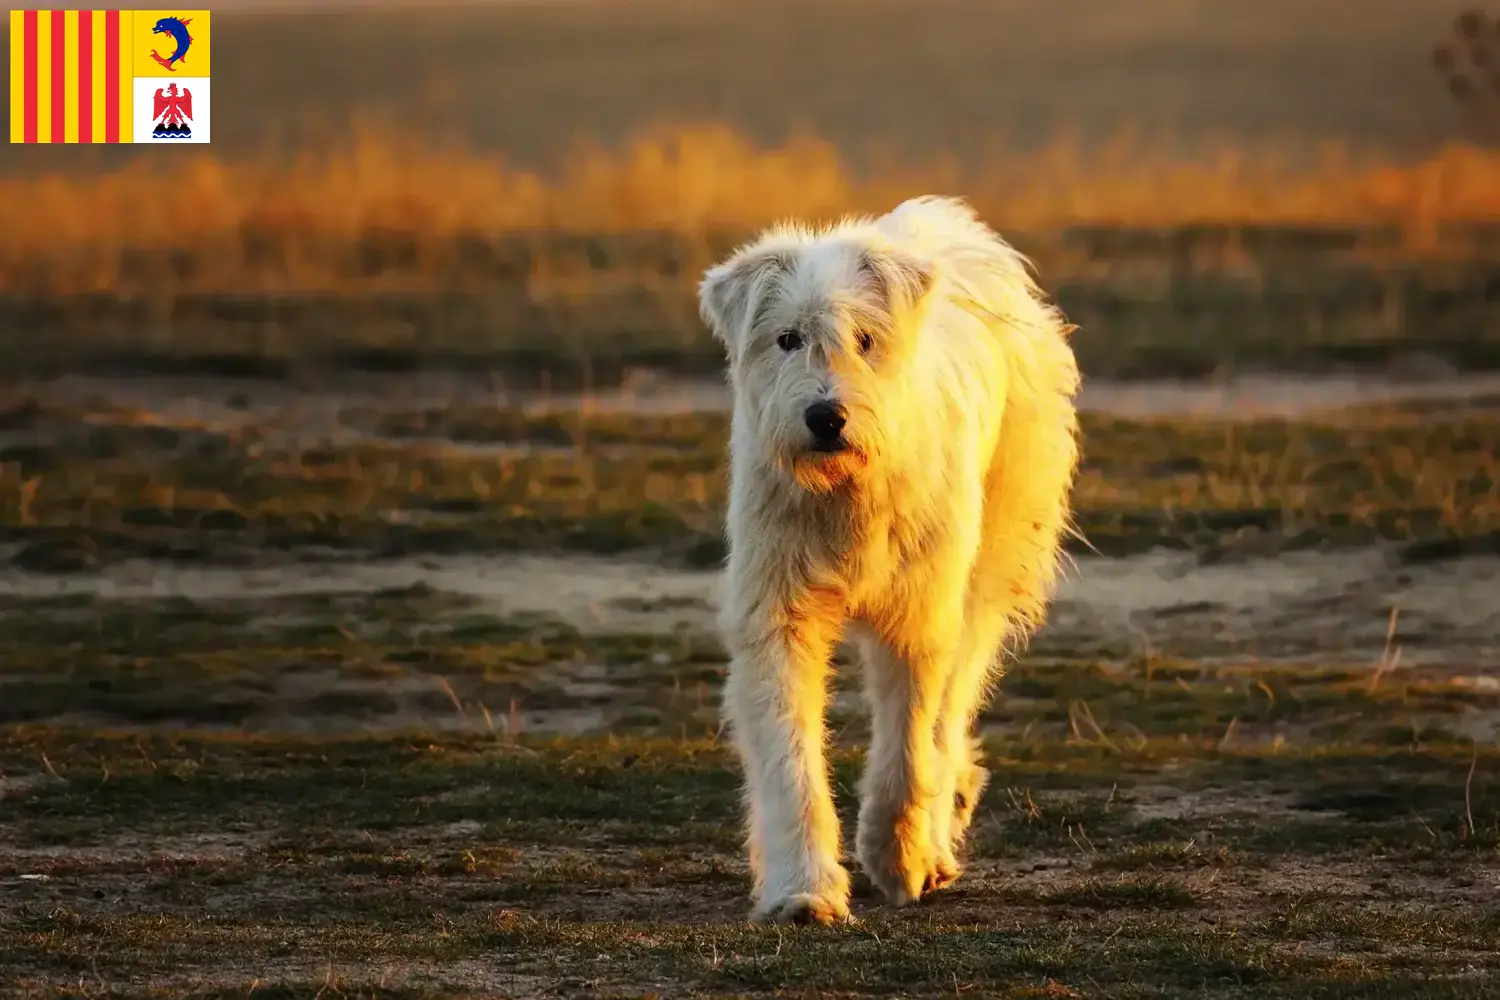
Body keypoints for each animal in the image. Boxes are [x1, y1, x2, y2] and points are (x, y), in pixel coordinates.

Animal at [699, 193, 1080, 923]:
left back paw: (939, 831)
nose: (826, 417)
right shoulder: (777, 611)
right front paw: (804, 889)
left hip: (988, 565)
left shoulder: (919, 612)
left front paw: (898, 859)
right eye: (787, 339)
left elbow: (909, 741)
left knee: (951, 710)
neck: (847, 488)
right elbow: (789, 754)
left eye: (866, 339)